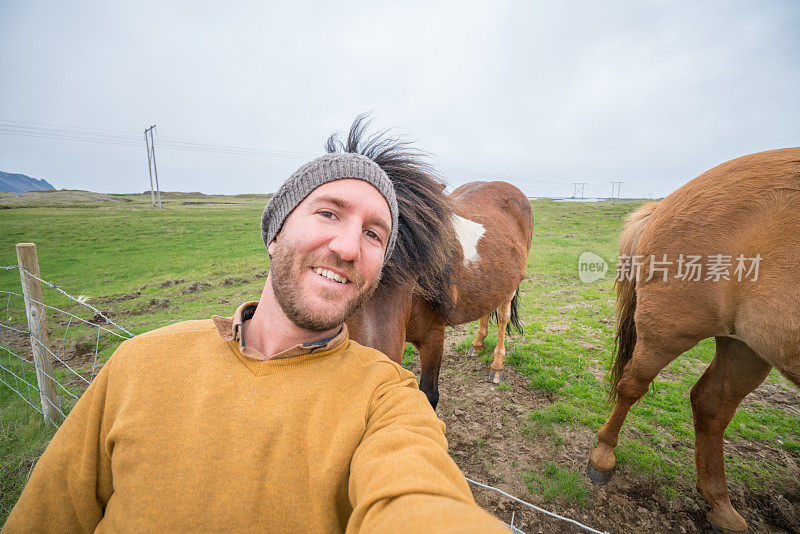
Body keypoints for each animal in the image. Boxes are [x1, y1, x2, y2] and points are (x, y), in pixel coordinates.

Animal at [328, 118, 536, 410]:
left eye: (414, 274)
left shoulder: (434, 337)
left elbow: (428, 395)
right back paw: (477, 344)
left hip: (512, 285)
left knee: (504, 317)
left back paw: (497, 365)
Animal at [588, 148, 800, 534]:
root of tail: (663, 205)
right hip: (670, 328)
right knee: (633, 385)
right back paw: (603, 455)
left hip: (745, 345)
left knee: (711, 403)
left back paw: (721, 504)